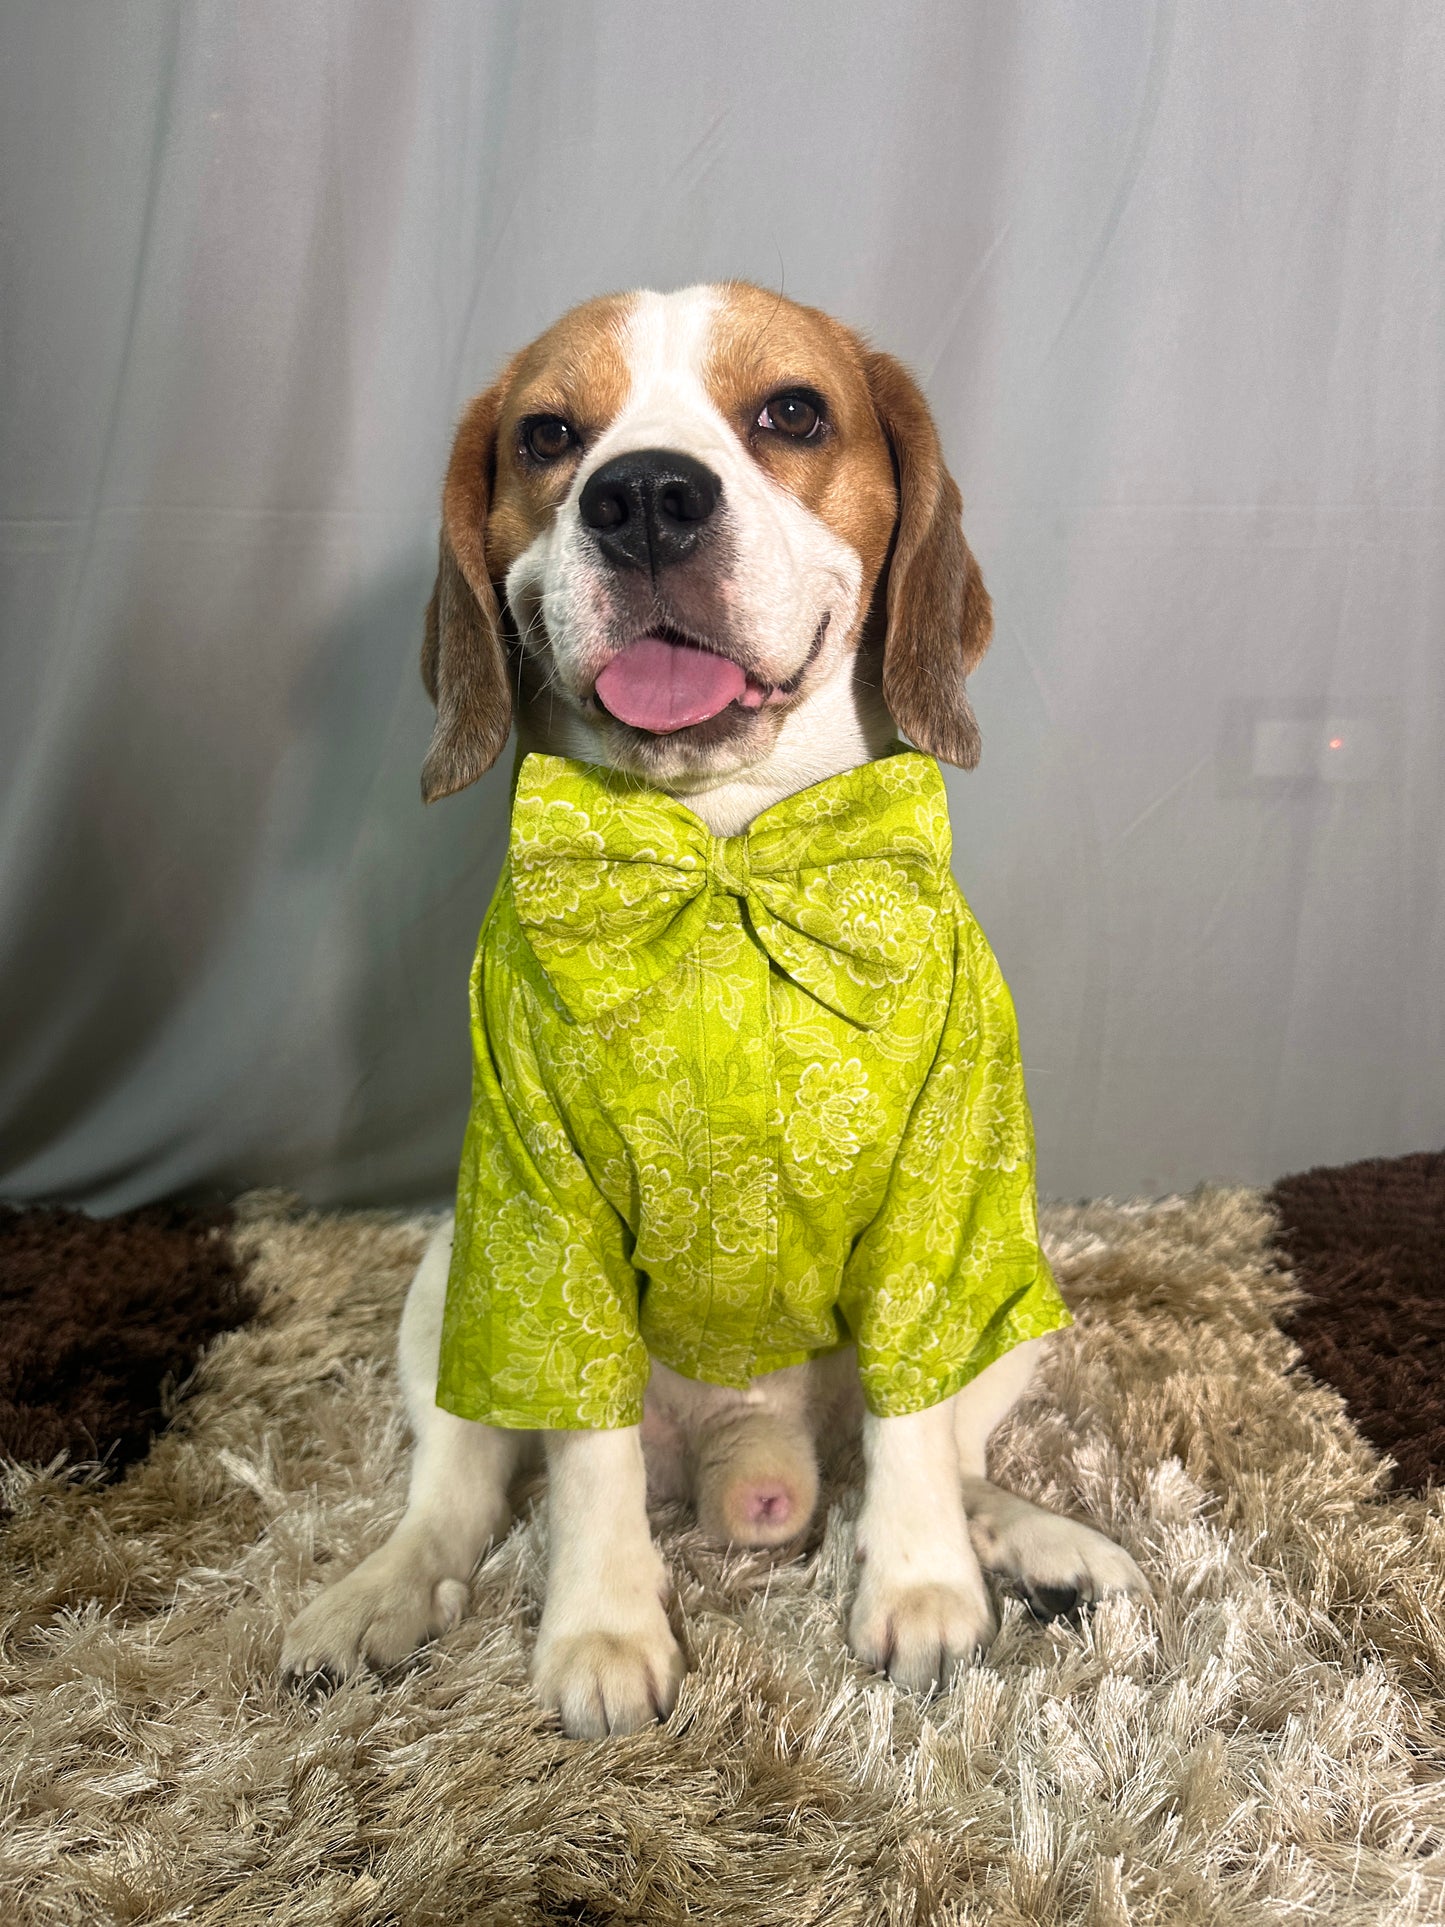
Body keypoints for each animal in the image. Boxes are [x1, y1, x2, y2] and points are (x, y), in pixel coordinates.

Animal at [279, 289, 1140, 1749]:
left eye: (792, 412)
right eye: (546, 434)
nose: (642, 498)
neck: (723, 845)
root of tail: (751, 1447)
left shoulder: (941, 1200)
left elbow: (913, 1428)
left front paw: (920, 1584)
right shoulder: (547, 1216)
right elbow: (583, 1462)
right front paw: (602, 1625)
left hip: (1017, 1288)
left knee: (934, 1434)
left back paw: (1021, 1541)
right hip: (457, 1270)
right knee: (457, 1491)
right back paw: (380, 1594)